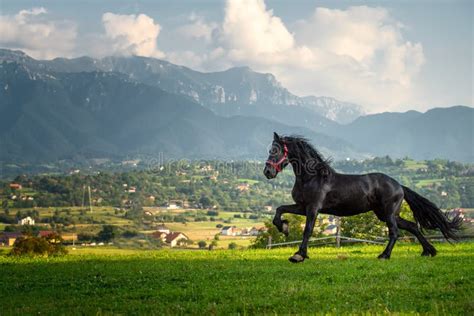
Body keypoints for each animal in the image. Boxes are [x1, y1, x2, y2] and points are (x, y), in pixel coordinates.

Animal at [262, 132, 462, 262]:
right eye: (270, 150)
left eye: (276, 151)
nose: (267, 172)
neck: (312, 177)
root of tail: (399, 185)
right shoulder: (302, 207)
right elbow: (279, 210)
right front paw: (284, 227)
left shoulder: (313, 209)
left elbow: (307, 230)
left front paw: (299, 255)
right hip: (385, 214)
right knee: (412, 226)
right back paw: (428, 251)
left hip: (388, 214)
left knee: (395, 232)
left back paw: (384, 255)